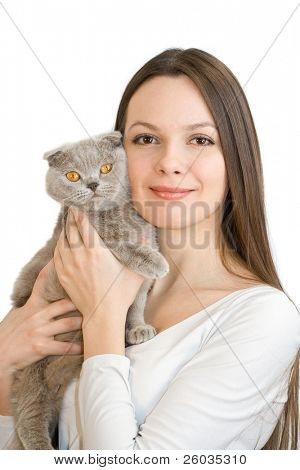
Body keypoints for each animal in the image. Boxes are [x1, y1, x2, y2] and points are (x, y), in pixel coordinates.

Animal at [4, 130, 169, 450]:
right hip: (31, 370)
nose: (92, 183)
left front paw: (137, 329)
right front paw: (155, 261)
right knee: (28, 415)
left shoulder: (139, 286)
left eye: (105, 168)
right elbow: (124, 246)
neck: (116, 215)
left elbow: (136, 306)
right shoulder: (93, 241)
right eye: (72, 175)